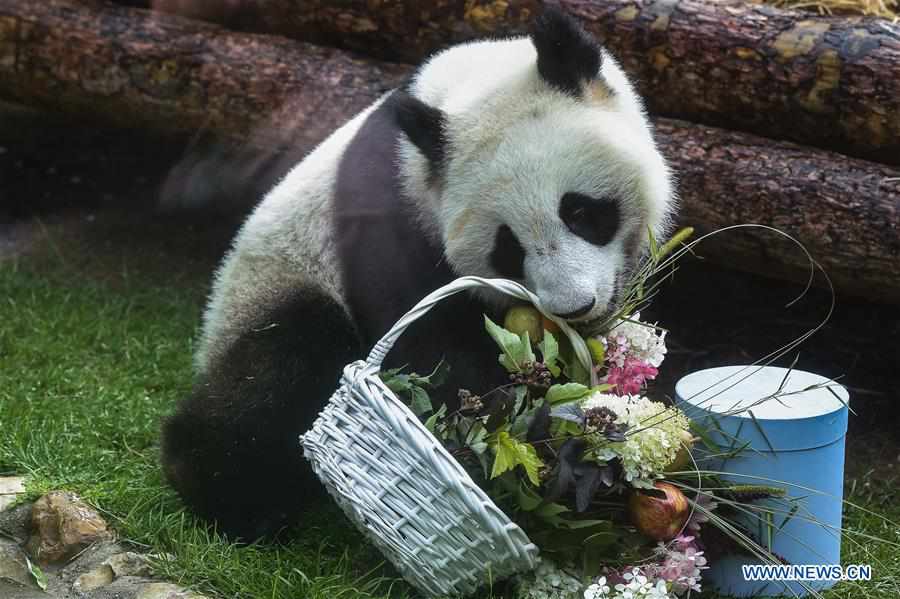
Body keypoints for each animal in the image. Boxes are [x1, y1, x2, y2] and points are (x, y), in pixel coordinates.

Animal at [160, 7, 676, 540]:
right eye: (507, 248)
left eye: (579, 212)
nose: (573, 307)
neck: (462, 87)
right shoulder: (387, 216)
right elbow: (425, 347)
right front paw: (527, 435)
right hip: (273, 283)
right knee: (282, 366)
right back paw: (231, 494)